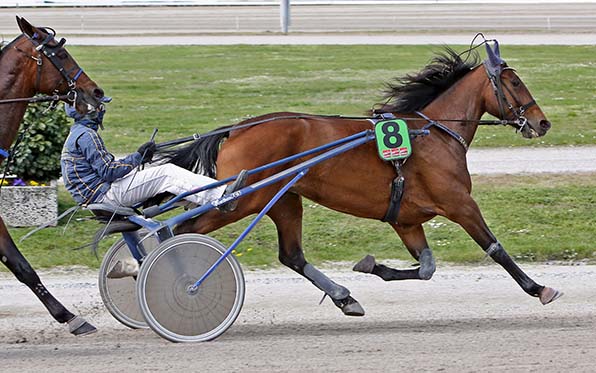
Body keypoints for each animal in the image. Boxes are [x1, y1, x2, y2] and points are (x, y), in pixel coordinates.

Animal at [0, 16, 106, 334]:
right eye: (61, 54)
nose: (95, 91)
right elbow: (18, 262)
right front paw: (68, 315)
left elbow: (16, 262)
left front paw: (68, 315)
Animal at [162, 40, 560, 314]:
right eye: (515, 82)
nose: (542, 122)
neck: (434, 134)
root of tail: (236, 129)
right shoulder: (459, 203)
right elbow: (495, 248)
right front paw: (539, 288)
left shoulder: (406, 220)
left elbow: (426, 268)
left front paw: (372, 266)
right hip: (243, 200)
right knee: (182, 230)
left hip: (284, 199)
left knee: (292, 255)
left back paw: (344, 297)